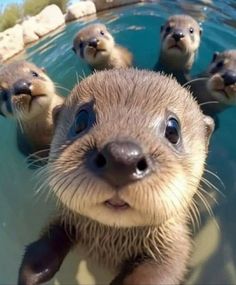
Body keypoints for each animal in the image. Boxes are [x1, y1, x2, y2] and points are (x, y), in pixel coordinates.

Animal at [17, 67, 214, 282]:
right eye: (81, 119)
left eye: (173, 130)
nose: (122, 156)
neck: (111, 244)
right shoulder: (66, 218)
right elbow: (48, 242)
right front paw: (32, 272)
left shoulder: (174, 246)